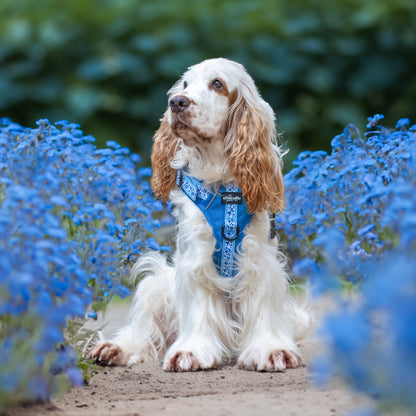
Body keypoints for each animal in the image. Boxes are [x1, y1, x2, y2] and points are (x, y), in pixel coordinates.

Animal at [89, 57, 310, 372]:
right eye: (184, 84)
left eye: (217, 84)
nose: (176, 102)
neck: (220, 182)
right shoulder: (195, 256)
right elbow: (198, 307)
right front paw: (191, 352)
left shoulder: (258, 258)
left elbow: (262, 306)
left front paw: (270, 350)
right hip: (156, 286)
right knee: (145, 332)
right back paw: (116, 348)